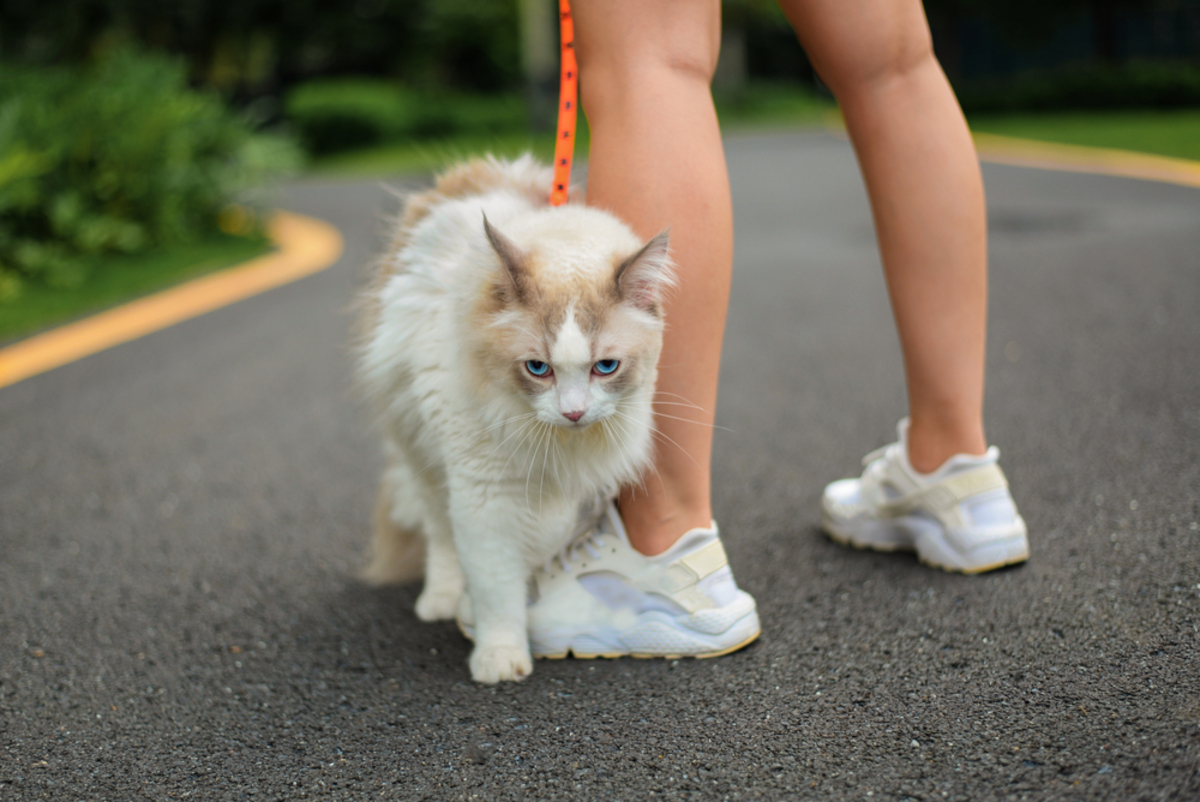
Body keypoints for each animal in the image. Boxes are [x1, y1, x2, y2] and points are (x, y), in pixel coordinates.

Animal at [355, 154, 676, 681]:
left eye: (606, 367)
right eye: (537, 368)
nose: (573, 412)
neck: (560, 446)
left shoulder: (576, 484)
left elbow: (547, 541)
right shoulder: (484, 492)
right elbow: (495, 583)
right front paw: (500, 656)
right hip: (422, 453)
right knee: (438, 532)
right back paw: (441, 598)